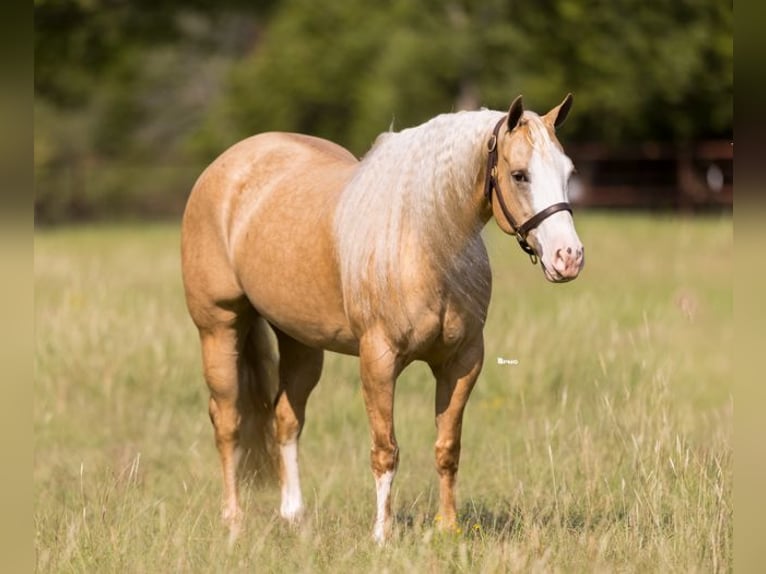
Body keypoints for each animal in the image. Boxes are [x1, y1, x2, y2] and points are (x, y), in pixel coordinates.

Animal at [180, 94, 584, 543]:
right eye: (519, 175)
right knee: (227, 421)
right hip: (219, 328)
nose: (568, 257)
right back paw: (233, 521)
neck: (424, 241)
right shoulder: (379, 361)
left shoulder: (462, 362)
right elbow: (385, 449)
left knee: (286, 418)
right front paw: (381, 536)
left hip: (300, 342)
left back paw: (294, 516)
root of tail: (228, 165)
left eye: (568, 172)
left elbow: (447, 447)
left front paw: (448, 528)